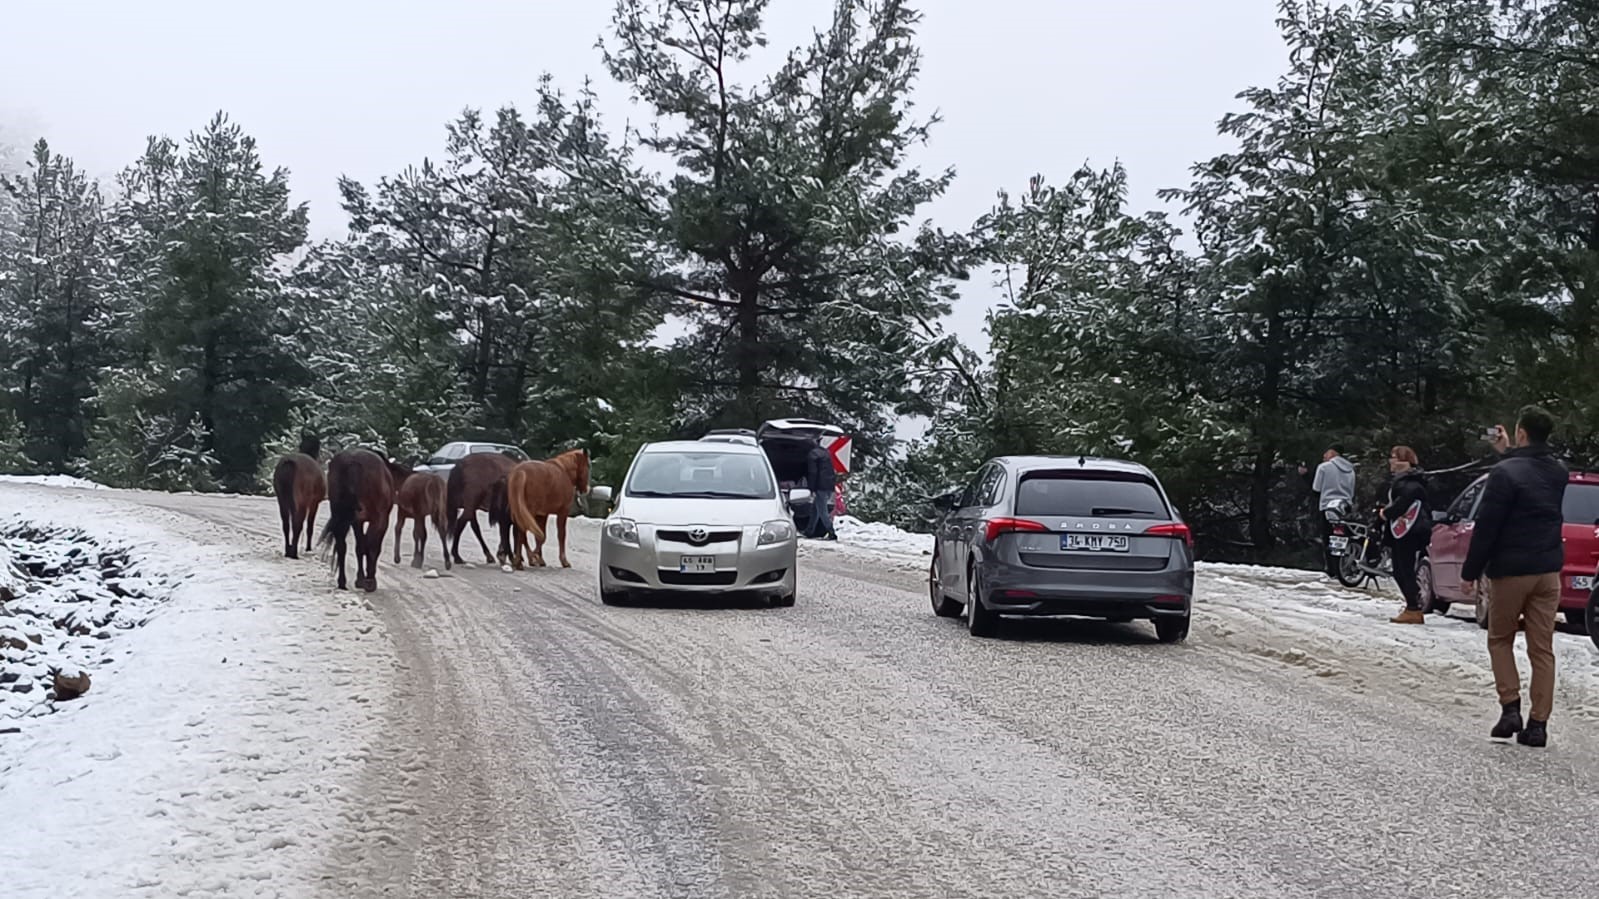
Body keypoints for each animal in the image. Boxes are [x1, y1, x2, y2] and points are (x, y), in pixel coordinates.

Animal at [318, 444, 412, 588]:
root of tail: (353, 463)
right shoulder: (381, 520)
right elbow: (372, 546)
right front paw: (368, 579)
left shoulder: (357, 521)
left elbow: (360, 547)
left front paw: (360, 578)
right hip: (376, 518)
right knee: (369, 545)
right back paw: (368, 581)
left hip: (342, 515)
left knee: (341, 545)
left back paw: (342, 581)